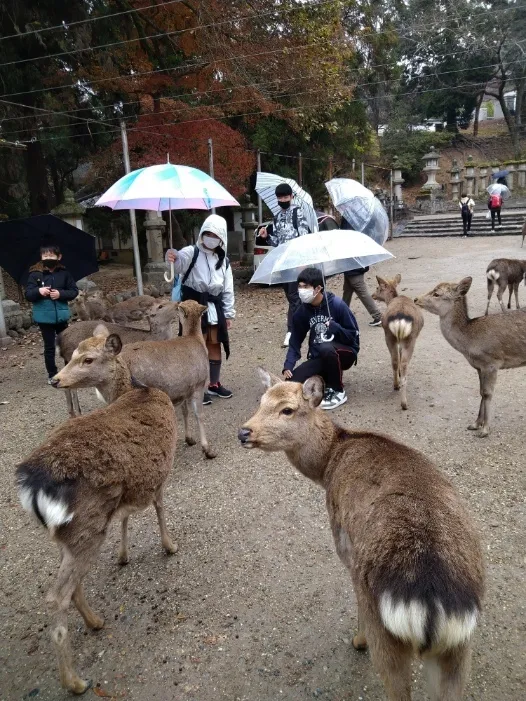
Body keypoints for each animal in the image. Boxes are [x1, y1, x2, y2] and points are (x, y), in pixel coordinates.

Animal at [15, 356, 178, 696]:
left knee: (71, 584)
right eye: (76, 355)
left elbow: (127, 518)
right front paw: (170, 546)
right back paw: (74, 681)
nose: (57, 379)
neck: (137, 390)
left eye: (87, 358)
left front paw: (123, 555)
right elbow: (159, 509)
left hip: (69, 534)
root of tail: (32, 485)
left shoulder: (132, 490)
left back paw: (95, 622)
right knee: (56, 597)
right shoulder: (161, 473)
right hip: (87, 526)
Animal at [55, 300, 217, 460]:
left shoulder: (184, 388)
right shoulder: (199, 383)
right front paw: (208, 449)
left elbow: (185, 412)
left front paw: (190, 439)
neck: (195, 339)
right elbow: (199, 414)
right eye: (160, 306)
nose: (177, 302)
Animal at [239, 372, 486, 700]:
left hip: (384, 625)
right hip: (458, 649)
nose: (244, 432)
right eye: (261, 401)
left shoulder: (345, 545)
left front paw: (358, 640)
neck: (328, 464)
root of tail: (434, 604)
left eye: (287, 409)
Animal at [372, 270, 424, 408]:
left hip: (389, 335)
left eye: (377, 288)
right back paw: (404, 402)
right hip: (410, 338)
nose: (372, 295)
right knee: (404, 363)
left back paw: (396, 386)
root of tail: (400, 319)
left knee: (395, 361)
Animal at [418, 276, 526, 434]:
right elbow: (481, 392)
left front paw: (485, 429)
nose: (416, 299)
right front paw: (475, 424)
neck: (470, 343)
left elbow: (487, 393)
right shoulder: (479, 366)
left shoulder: (492, 363)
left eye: (436, 293)